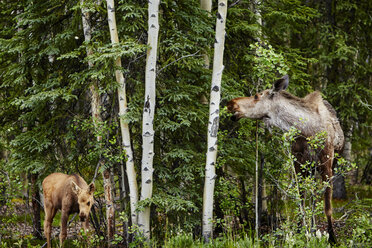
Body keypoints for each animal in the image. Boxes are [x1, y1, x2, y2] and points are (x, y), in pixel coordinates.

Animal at [228, 75, 344, 242]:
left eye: (256, 96)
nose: (231, 103)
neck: (306, 130)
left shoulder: (326, 163)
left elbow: (327, 206)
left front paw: (332, 237)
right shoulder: (299, 163)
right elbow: (301, 200)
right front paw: (301, 231)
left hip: (328, 163)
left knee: (315, 196)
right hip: (310, 169)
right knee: (312, 196)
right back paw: (312, 227)